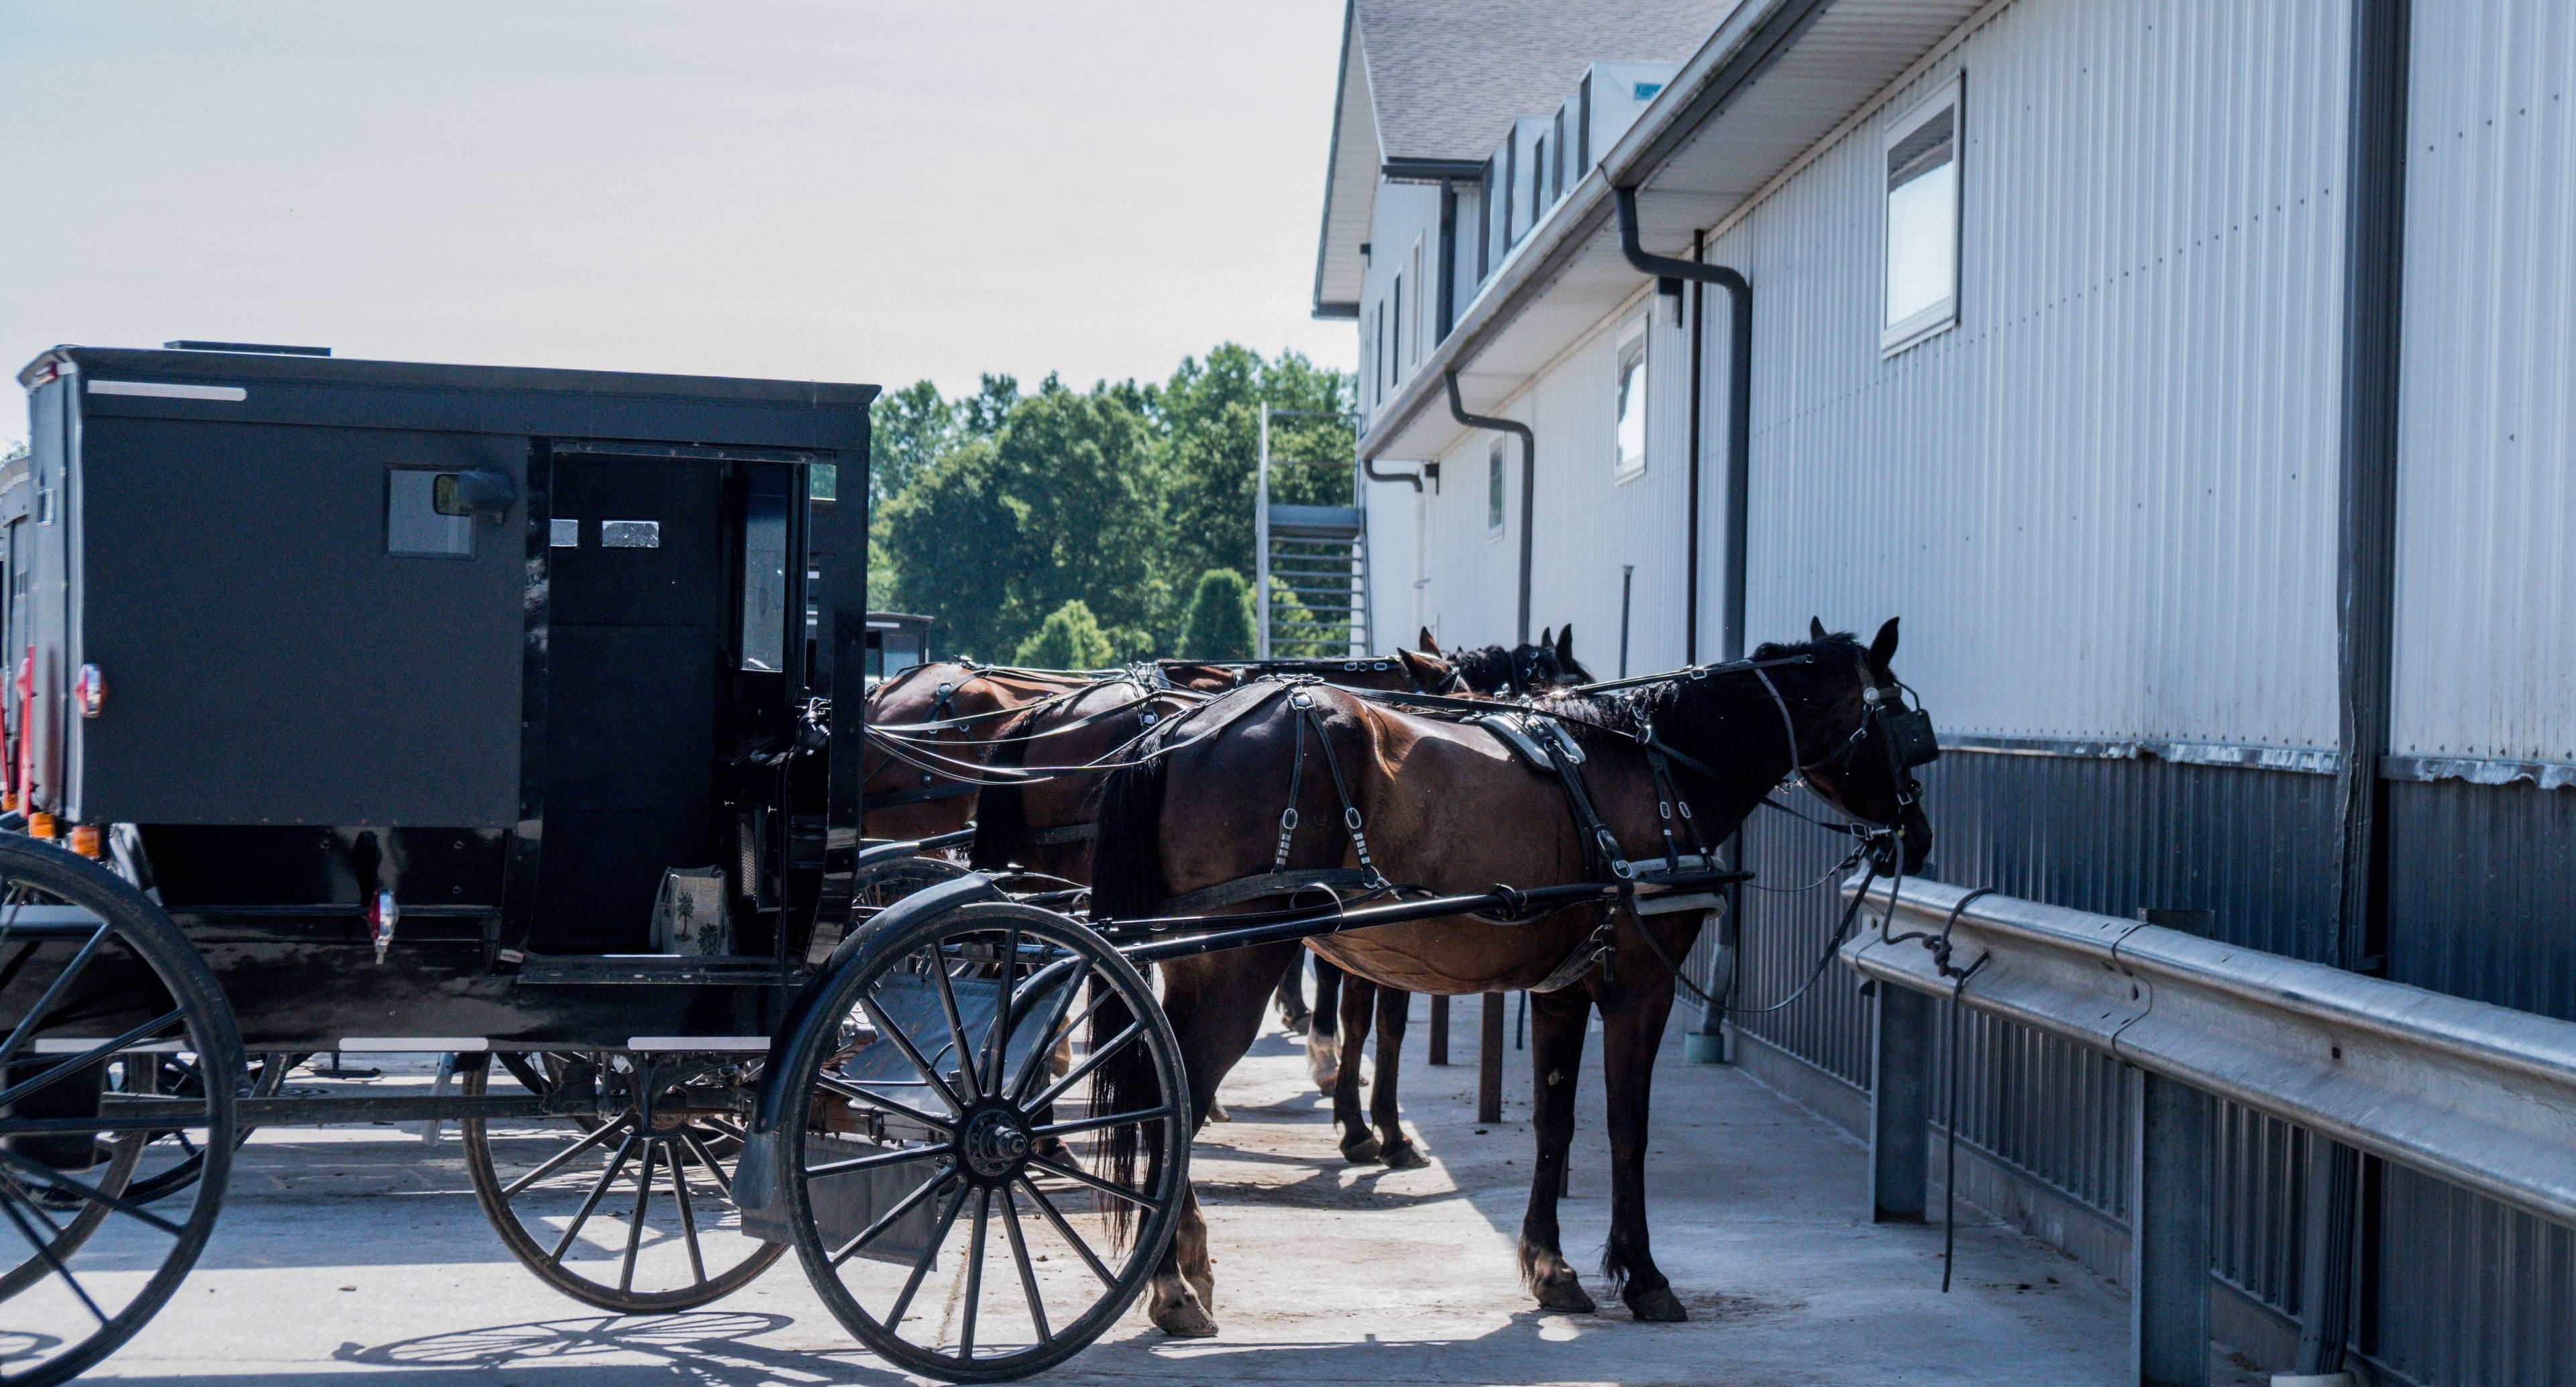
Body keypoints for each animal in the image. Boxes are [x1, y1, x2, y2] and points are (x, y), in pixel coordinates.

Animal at [1081, 617, 1937, 1338]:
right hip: (1243, 959)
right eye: (1903, 720)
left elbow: (1554, 1122)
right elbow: (1628, 1125)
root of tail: (1182, 726)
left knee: (1166, 1089)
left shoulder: (1563, 987)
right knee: (1181, 1098)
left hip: (1193, 962)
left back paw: (1185, 1258)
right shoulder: (1640, 987)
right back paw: (1172, 1284)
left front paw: (1552, 1268)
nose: (1918, 834)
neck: (1653, 769)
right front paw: (1644, 1275)